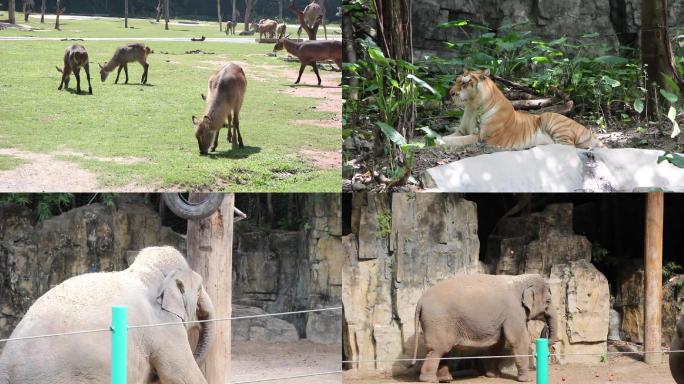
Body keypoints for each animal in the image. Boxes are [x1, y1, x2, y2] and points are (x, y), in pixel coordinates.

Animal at [408, 272, 560, 380]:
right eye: (548, 301)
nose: (545, 329)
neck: (520, 279)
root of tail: (420, 300)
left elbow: (499, 343)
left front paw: (493, 376)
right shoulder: (514, 312)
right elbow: (517, 340)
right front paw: (526, 379)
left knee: (444, 349)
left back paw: (446, 379)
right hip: (437, 321)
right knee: (438, 349)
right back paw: (429, 380)